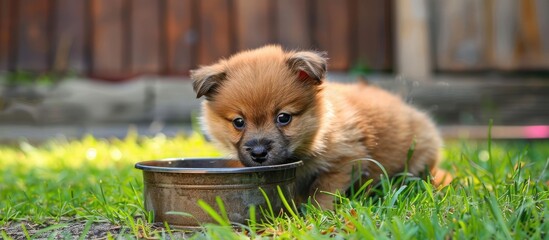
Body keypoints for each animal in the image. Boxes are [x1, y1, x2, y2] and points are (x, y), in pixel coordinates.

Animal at [191, 45, 448, 208]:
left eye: (283, 118)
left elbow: (323, 191)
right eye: (238, 122)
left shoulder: (345, 160)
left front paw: (317, 213)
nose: (258, 153)